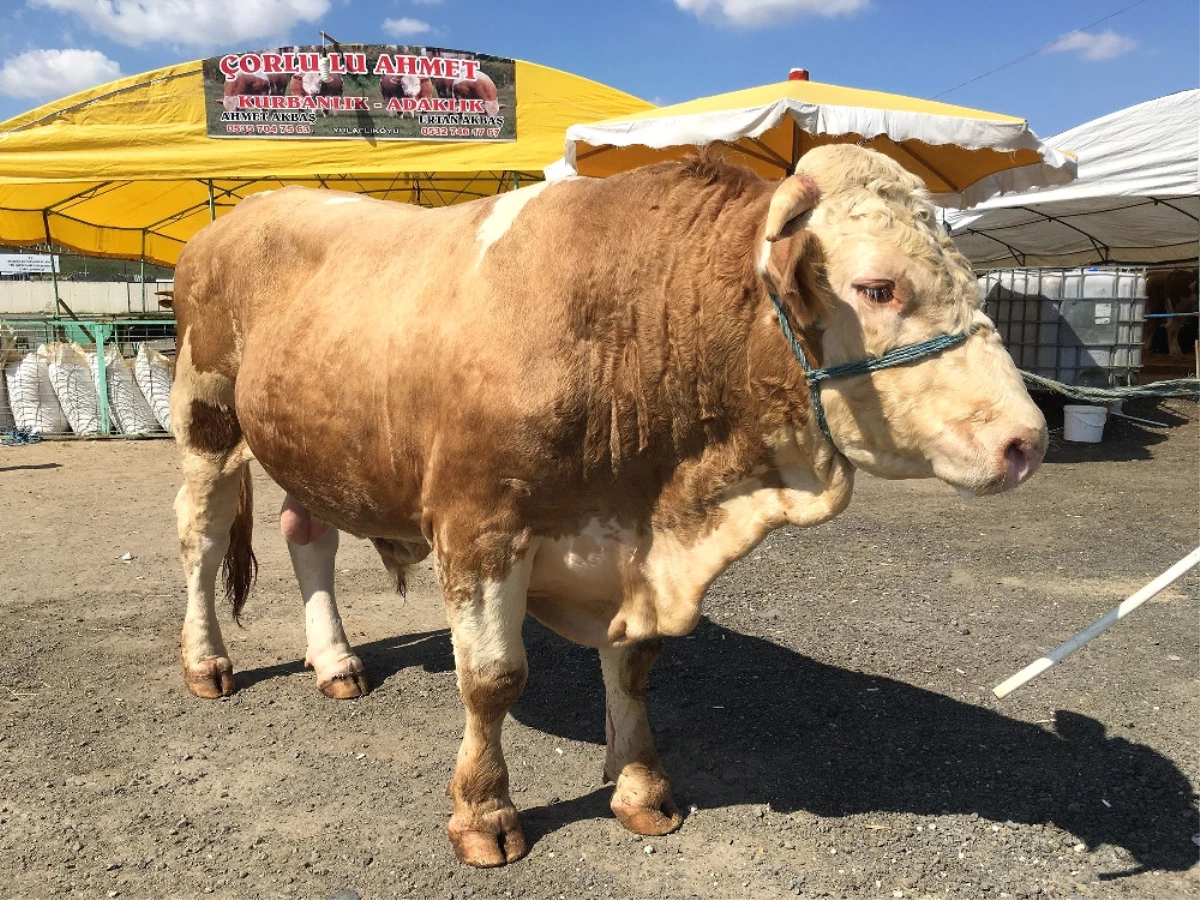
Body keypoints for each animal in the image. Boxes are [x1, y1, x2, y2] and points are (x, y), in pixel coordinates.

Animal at [171, 146, 1051, 868]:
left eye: (972, 278)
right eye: (877, 287)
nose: (1028, 440)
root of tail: (250, 208)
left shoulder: (630, 547)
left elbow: (633, 666)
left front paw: (639, 788)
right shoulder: (479, 524)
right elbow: (492, 678)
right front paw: (484, 814)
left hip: (310, 443)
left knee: (306, 534)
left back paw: (336, 662)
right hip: (206, 419)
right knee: (202, 540)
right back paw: (207, 663)